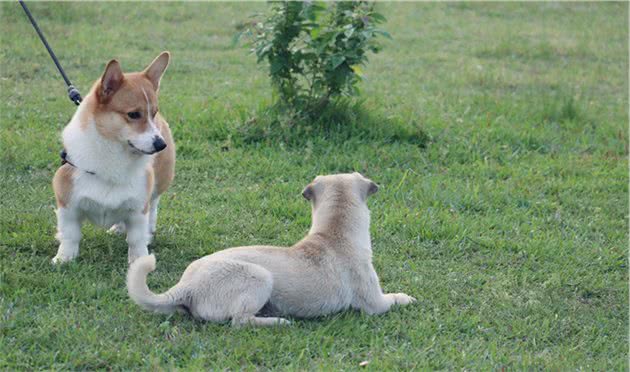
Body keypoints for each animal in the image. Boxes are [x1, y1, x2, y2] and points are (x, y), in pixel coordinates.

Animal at [50, 52, 175, 264]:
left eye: (153, 113)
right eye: (133, 114)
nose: (161, 144)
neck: (114, 154)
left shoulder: (138, 208)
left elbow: (136, 238)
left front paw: (139, 259)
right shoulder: (68, 204)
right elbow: (70, 235)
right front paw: (64, 258)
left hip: (158, 183)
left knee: (153, 206)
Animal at [126, 173, 418, 324]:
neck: (333, 234)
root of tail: (186, 287)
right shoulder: (375, 303)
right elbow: (394, 298)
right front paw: (407, 298)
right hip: (260, 277)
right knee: (240, 321)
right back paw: (279, 322)